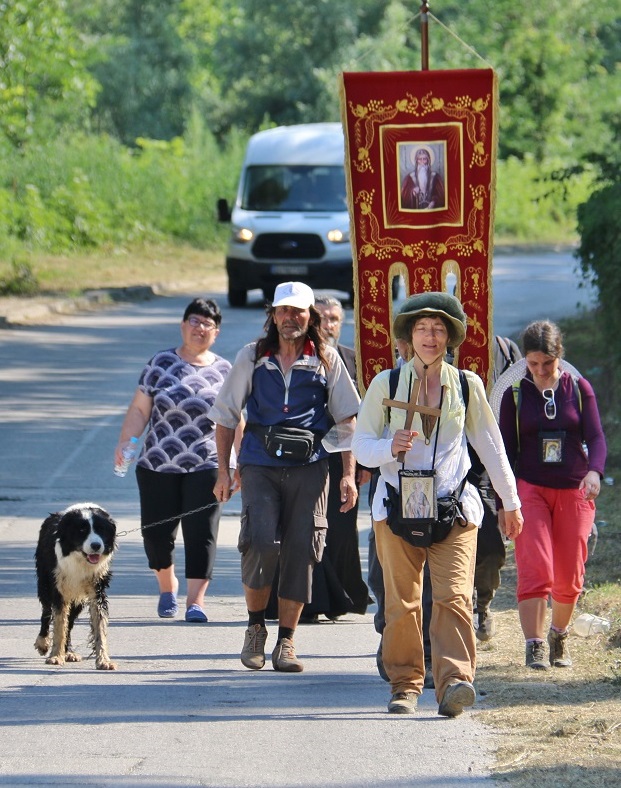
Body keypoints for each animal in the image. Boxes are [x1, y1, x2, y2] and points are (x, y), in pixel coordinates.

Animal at [34, 504, 117, 672]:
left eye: (101, 529)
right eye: (81, 530)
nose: (96, 546)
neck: (80, 561)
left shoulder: (97, 590)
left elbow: (100, 626)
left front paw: (104, 660)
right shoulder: (58, 589)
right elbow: (59, 624)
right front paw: (55, 656)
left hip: (77, 599)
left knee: (70, 621)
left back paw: (69, 652)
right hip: (44, 582)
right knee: (46, 613)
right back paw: (43, 643)